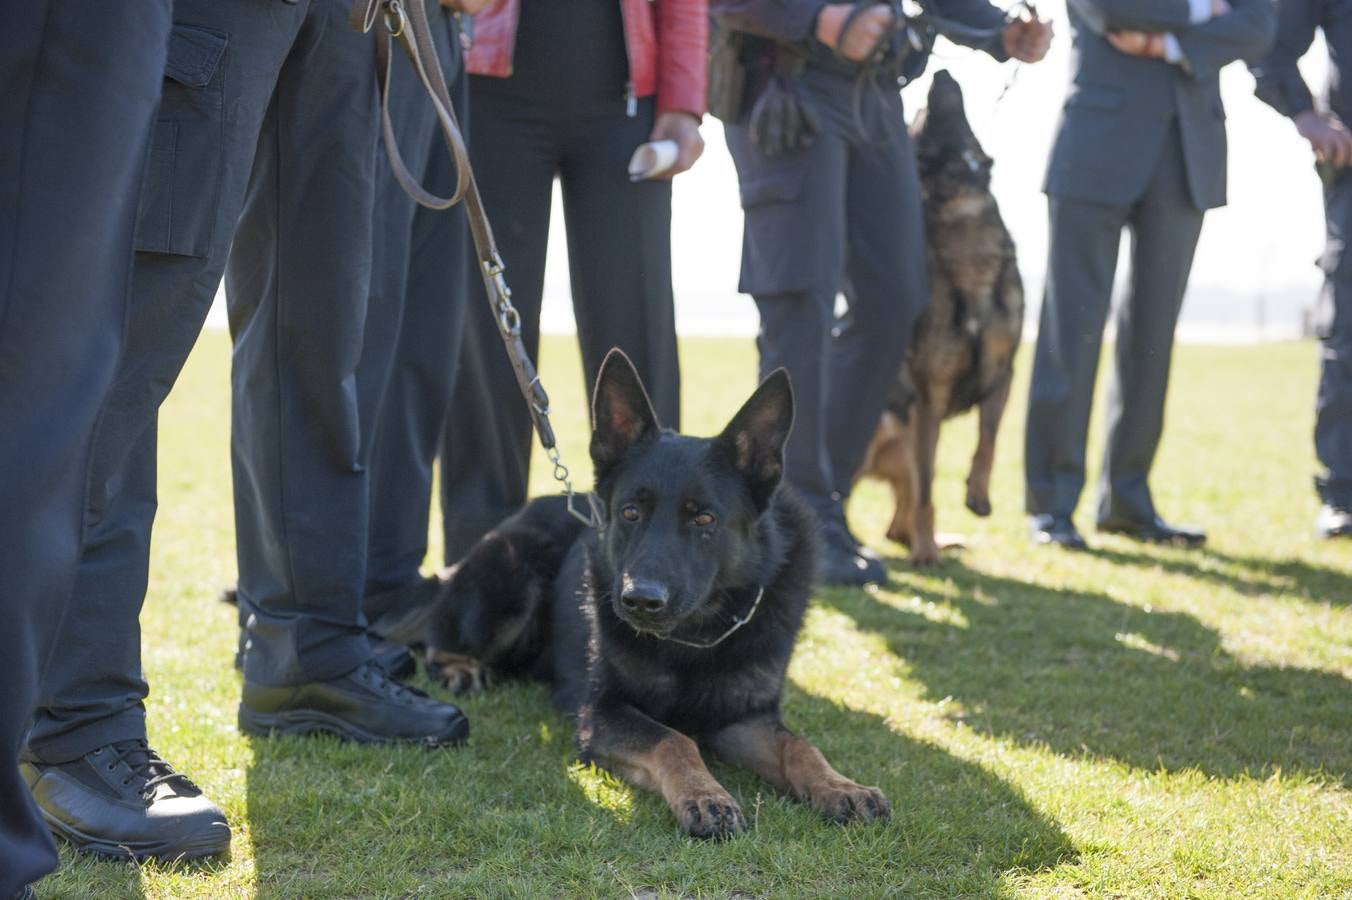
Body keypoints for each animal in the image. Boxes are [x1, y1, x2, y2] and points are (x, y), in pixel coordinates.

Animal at [424, 348, 886, 832]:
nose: (640, 600)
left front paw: (840, 786)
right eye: (631, 512)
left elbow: (799, 745)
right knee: (439, 636)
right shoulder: (602, 713)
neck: (695, 637)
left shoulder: (743, 718)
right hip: (512, 578)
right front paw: (705, 795)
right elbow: (674, 739)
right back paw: (461, 669)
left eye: (704, 519)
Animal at [859, 71, 1016, 562]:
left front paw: (978, 494)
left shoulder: (1003, 375)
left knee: (895, 525)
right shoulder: (928, 402)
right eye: (919, 117)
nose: (941, 72)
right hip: (890, 428)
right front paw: (927, 553)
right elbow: (929, 490)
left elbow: (989, 442)